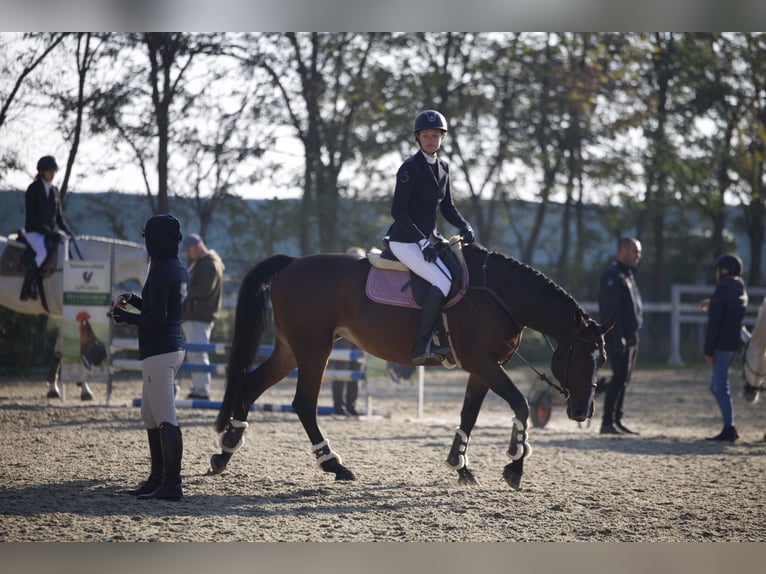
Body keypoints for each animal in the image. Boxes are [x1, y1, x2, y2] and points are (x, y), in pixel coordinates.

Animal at [208, 243, 612, 490]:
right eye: (580, 356)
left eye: (602, 360)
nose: (582, 411)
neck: (499, 295)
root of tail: (292, 263)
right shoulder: (484, 363)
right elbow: (521, 404)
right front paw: (514, 465)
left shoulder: (483, 367)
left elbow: (469, 414)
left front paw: (460, 465)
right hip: (314, 350)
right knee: (304, 403)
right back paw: (334, 465)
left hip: (291, 350)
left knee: (250, 384)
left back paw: (225, 450)